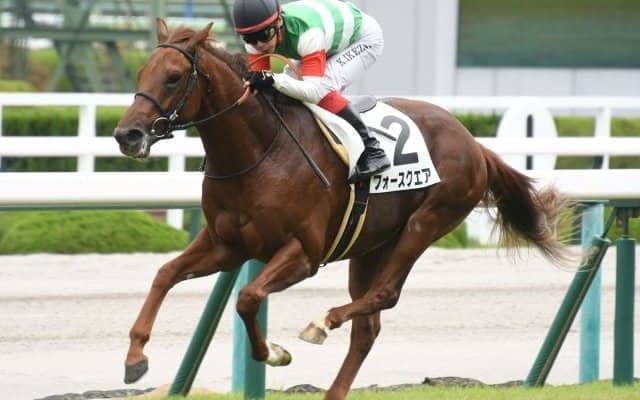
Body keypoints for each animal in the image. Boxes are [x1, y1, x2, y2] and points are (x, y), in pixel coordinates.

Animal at [114, 19, 568, 400]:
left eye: (173, 77)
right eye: (140, 74)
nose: (126, 135)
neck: (259, 151)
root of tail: (474, 142)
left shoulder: (304, 253)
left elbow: (246, 297)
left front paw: (275, 352)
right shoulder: (226, 245)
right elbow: (165, 274)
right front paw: (135, 358)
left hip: (426, 222)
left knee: (384, 295)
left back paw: (323, 322)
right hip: (370, 246)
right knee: (367, 327)